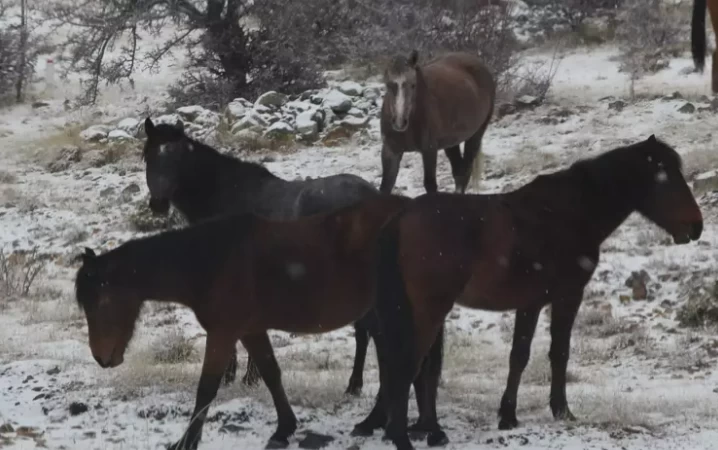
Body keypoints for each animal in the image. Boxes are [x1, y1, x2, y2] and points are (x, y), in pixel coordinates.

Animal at [74, 193, 410, 450]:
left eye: (101, 303)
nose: (101, 357)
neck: (211, 262)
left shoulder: (222, 333)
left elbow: (206, 389)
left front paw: (186, 442)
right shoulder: (250, 330)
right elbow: (271, 373)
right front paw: (284, 429)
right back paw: (373, 422)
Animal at [138, 118, 380, 396]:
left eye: (177, 156)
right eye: (148, 155)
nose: (158, 204)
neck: (225, 195)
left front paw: (233, 377)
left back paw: (355, 386)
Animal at [354, 135, 704, 448]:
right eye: (665, 179)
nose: (696, 226)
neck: (571, 212)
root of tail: (399, 219)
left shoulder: (530, 303)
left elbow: (518, 356)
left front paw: (508, 415)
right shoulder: (567, 296)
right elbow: (559, 353)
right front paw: (562, 411)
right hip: (427, 313)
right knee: (406, 366)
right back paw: (402, 434)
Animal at [382, 50, 496, 196]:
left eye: (413, 85)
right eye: (388, 85)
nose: (399, 122)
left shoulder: (429, 150)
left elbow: (430, 185)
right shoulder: (390, 151)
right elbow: (385, 187)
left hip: (476, 135)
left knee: (465, 171)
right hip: (452, 142)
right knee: (458, 171)